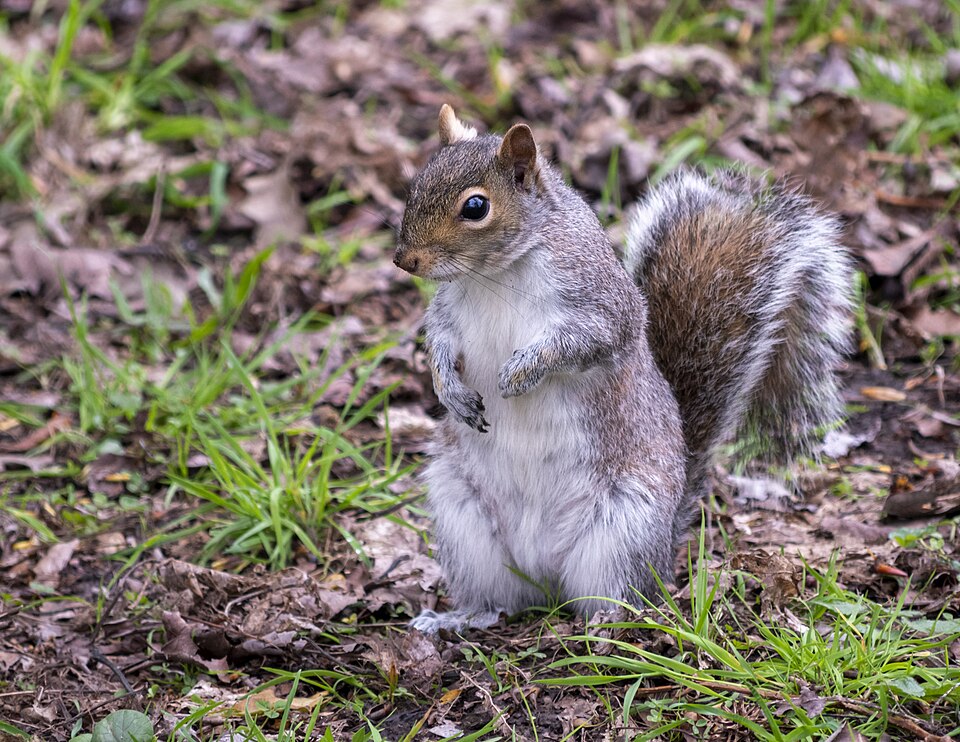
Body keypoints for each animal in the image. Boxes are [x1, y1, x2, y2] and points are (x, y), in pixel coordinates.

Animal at [394, 105, 852, 633]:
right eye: (416, 183)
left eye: (475, 207)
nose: (404, 260)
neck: (494, 276)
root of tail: (546, 580)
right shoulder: (449, 313)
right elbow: (440, 343)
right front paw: (450, 391)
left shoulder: (601, 305)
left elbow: (585, 341)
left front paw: (522, 371)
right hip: (463, 519)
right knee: (497, 602)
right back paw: (459, 618)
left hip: (624, 526)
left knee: (624, 596)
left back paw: (608, 624)